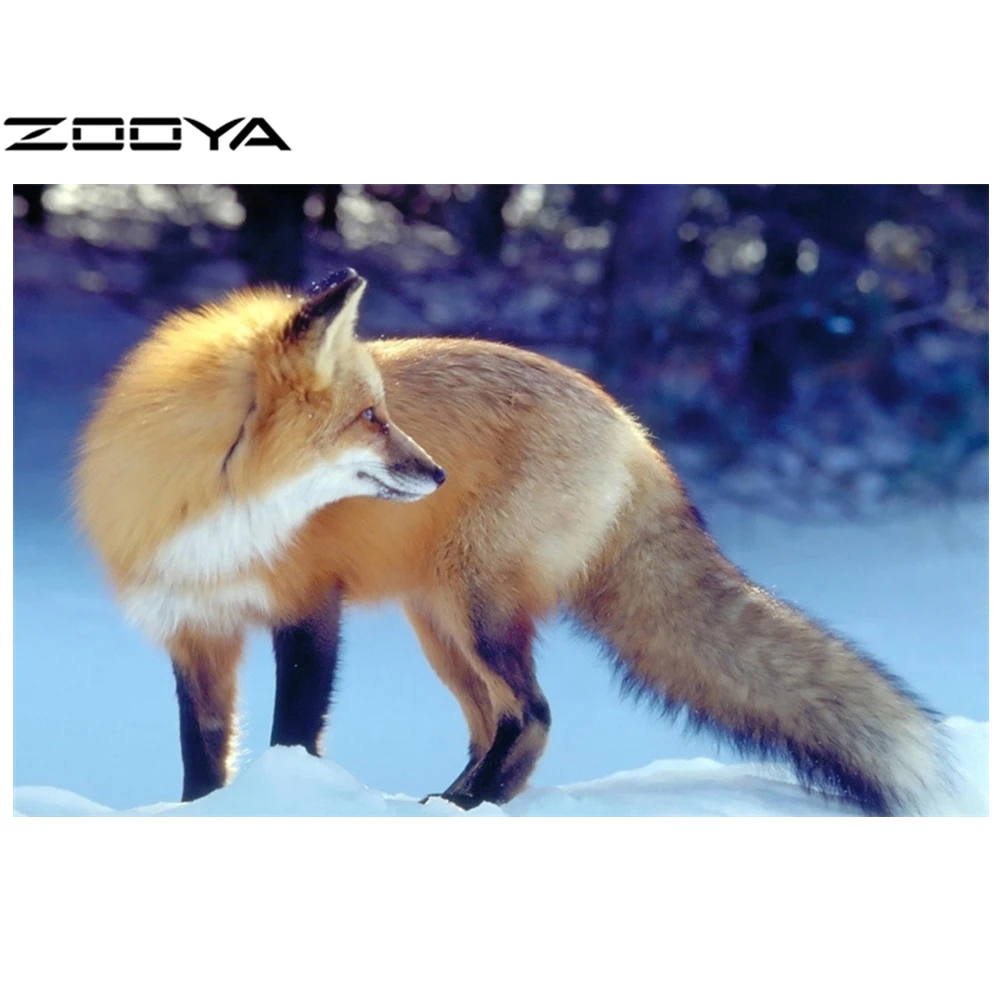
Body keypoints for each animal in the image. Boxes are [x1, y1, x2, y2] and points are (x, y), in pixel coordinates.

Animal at [75, 267, 952, 814]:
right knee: (491, 721)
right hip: (440, 622)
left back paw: (469, 805)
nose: (436, 471)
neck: (217, 512)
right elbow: (201, 753)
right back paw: (456, 800)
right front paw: (202, 813)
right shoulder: (194, 626)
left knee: (532, 715)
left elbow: (293, 734)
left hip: (476, 609)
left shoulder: (309, 609)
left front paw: (285, 802)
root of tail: (631, 427)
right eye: (371, 418)